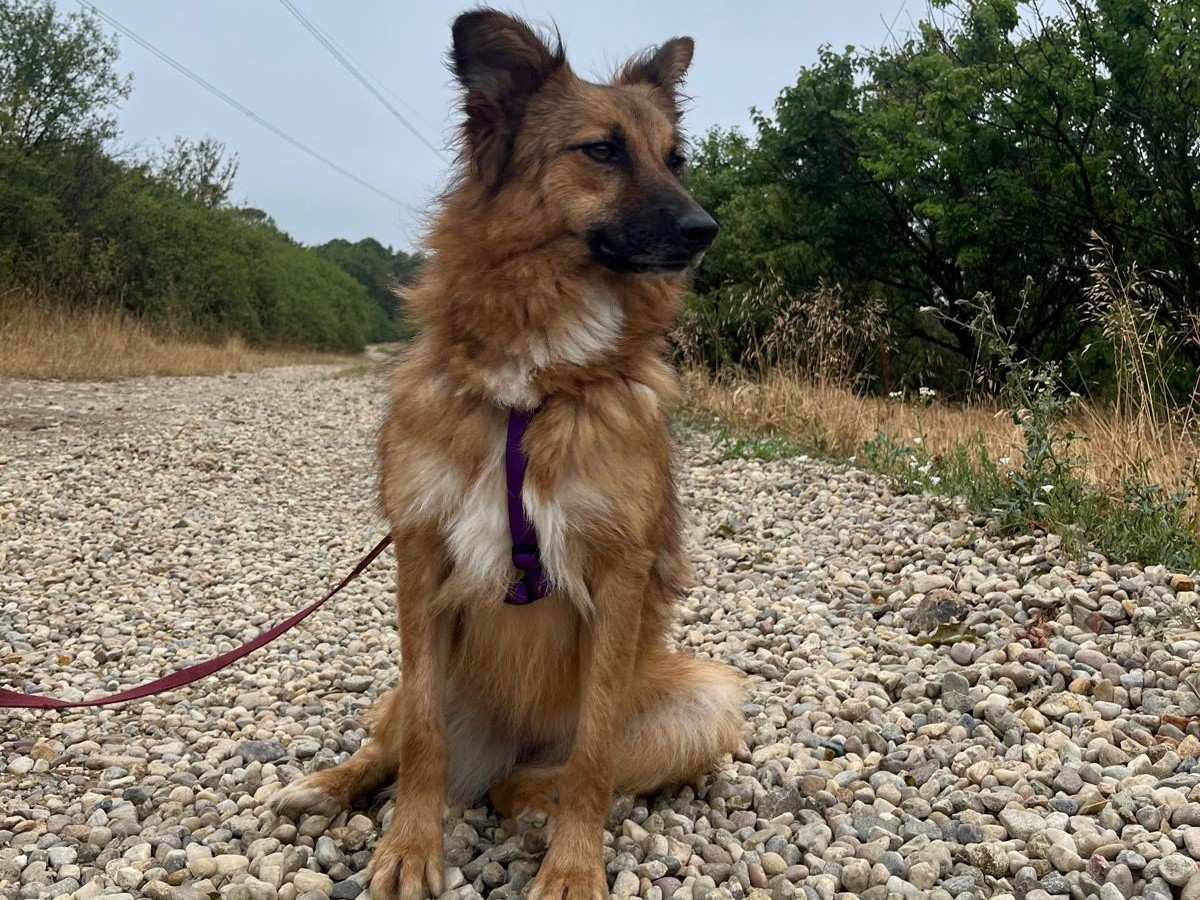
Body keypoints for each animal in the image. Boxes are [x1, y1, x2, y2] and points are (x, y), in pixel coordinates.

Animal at [270, 10, 745, 899]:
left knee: (549, 775)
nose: (705, 230)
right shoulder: (421, 553)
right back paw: (327, 785)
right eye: (603, 150)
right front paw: (409, 848)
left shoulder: (620, 573)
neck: (538, 382)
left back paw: (525, 799)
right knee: (394, 746)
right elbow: (423, 744)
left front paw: (573, 867)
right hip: (413, 683)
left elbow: (593, 757)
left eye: (676, 159)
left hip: (707, 697)